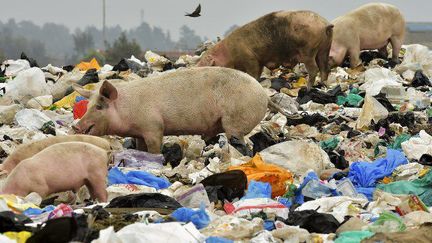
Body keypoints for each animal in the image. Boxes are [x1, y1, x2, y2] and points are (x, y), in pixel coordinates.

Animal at [72, 66, 272, 154]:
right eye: (87, 106)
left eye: (99, 106)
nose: (75, 126)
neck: (127, 108)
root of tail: (264, 94)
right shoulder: (139, 133)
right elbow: (141, 148)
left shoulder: (154, 128)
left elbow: (154, 149)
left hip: (235, 121)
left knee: (241, 143)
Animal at [196, 10, 334, 90]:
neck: (229, 53)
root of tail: (324, 23)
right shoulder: (260, 61)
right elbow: (258, 72)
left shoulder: (250, 58)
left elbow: (253, 73)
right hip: (325, 48)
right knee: (324, 67)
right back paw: (323, 85)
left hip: (308, 51)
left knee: (314, 69)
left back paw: (307, 88)